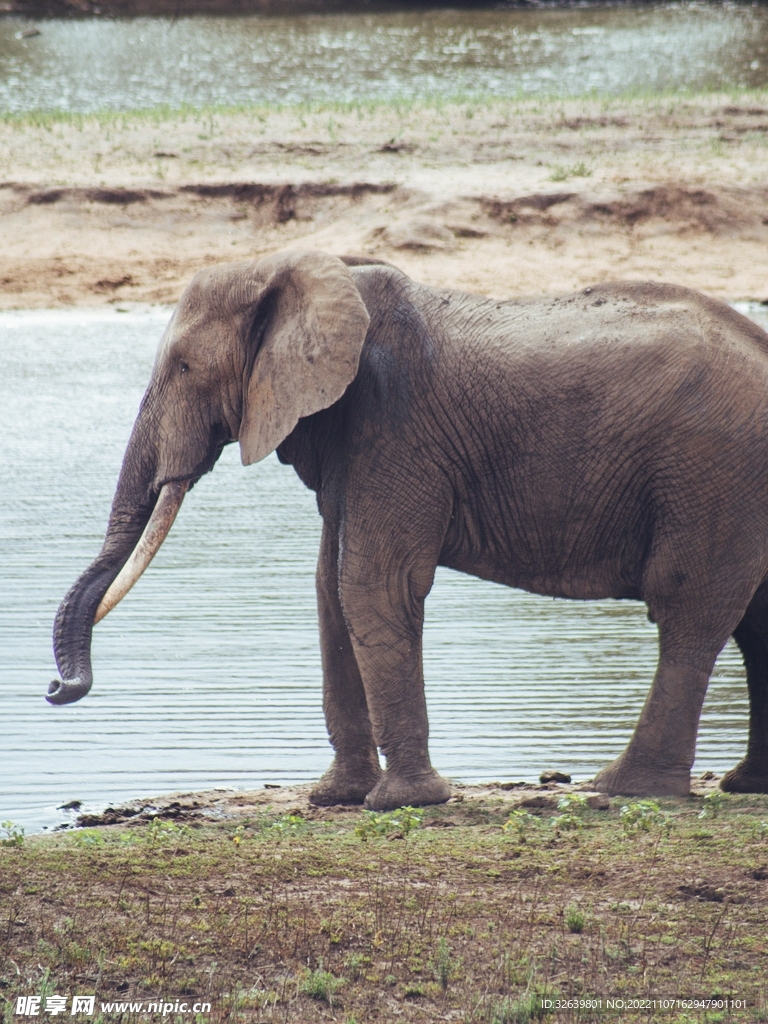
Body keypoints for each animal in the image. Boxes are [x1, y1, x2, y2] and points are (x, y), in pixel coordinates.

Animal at [48, 249, 768, 809]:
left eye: (185, 369)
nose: (57, 690)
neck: (305, 271)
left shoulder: (394, 426)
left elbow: (371, 585)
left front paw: (403, 803)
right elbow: (329, 590)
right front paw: (335, 797)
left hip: (711, 472)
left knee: (689, 606)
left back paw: (626, 788)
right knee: (753, 617)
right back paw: (742, 785)